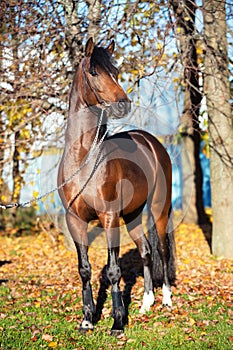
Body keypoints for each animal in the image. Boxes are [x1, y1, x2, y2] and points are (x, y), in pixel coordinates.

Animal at [58, 37, 175, 334]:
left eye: (117, 71)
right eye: (94, 72)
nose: (123, 104)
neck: (84, 158)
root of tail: (151, 142)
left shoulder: (109, 217)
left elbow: (113, 271)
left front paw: (118, 322)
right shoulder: (74, 220)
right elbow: (84, 269)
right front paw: (88, 319)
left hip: (159, 208)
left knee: (161, 250)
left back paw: (167, 300)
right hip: (132, 215)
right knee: (145, 251)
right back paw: (146, 304)